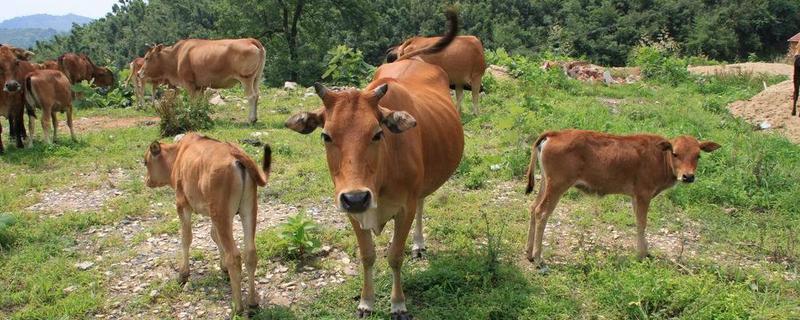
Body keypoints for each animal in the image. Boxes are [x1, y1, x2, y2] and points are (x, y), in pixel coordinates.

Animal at [139, 37, 268, 122]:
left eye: (147, 58)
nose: (139, 73)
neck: (176, 56)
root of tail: (250, 40)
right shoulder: (200, 86)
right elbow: (199, 102)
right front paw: (199, 113)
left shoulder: (189, 83)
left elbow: (192, 101)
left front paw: (192, 114)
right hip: (256, 78)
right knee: (257, 95)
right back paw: (255, 118)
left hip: (246, 78)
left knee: (251, 96)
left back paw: (251, 119)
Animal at [147, 133, 276, 316]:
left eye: (146, 162)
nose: (147, 181)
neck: (179, 154)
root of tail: (236, 155)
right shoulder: (213, 214)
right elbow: (214, 236)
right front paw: (223, 267)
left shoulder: (182, 204)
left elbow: (186, 238)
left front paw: (183, 273)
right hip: (248, 209)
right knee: (250, 253)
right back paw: (252, 303)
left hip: (222, 213)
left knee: (234, 256)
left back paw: (238, 307)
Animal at [286, 8, 462, 318]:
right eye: (326, 135)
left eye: (378, 133)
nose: (357, 197)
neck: (379, 179)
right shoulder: (350, 210)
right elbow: (367, 256)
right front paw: (366, 302)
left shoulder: (404, 207)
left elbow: (394, 255)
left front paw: (398, 303)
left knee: (422, 204)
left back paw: (418, 244)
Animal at [520, 129, 720, 266]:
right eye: (675, 153)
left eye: (698, 155)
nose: (688, 176)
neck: (659, 157)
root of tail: (555, 133)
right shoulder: (643, 195)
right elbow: (642, 224)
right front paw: (641, 254)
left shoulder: (635, 197)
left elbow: (639, 223)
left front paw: (646, 252)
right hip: (557, 186)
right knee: (542, 212)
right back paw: (538, 257)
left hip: (546, 183)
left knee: (533, 207)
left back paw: (528, 252)